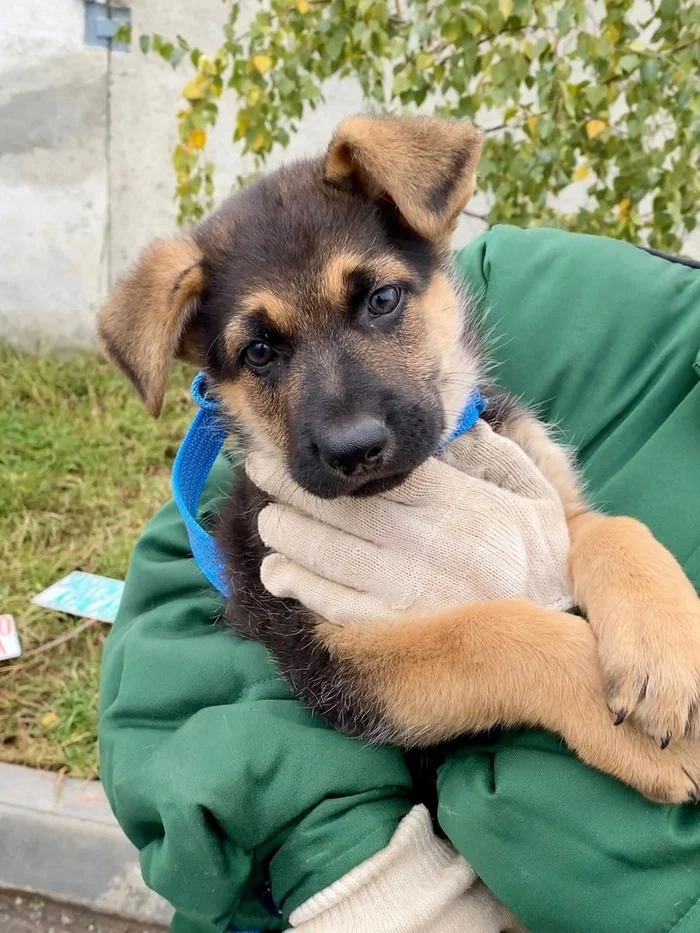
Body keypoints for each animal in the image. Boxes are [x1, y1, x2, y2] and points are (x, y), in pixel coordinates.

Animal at [100, 114, 700, 800]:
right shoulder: (333, 651)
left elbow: (617, 531)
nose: (355, 448)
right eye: (258, 352)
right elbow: (488, 633)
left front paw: (661, 650)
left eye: (382, 300)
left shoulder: (551, 501)